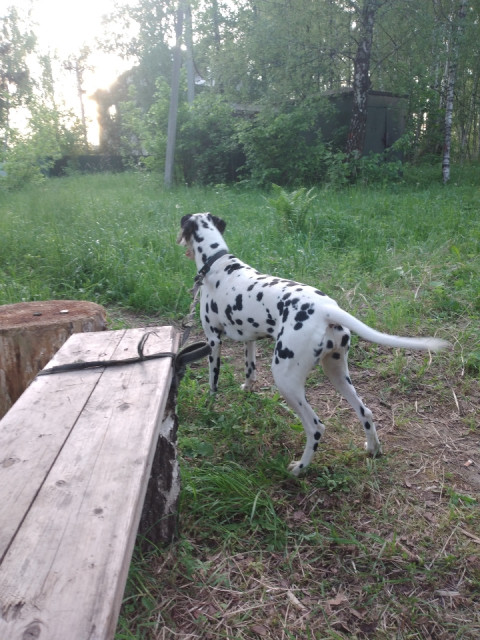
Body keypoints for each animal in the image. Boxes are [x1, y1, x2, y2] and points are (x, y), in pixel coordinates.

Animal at [177, 212, 450, 472]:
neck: (218, 262)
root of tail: (327, 309)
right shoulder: (249, 339)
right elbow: (249, 370)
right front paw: (246, 389)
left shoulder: (213, 341)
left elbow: (213, 382)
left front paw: (209, 407)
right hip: (337, 372)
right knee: (366, 412)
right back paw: (373, 449)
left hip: (286, 380)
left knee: (316, 427)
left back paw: (299, 469)